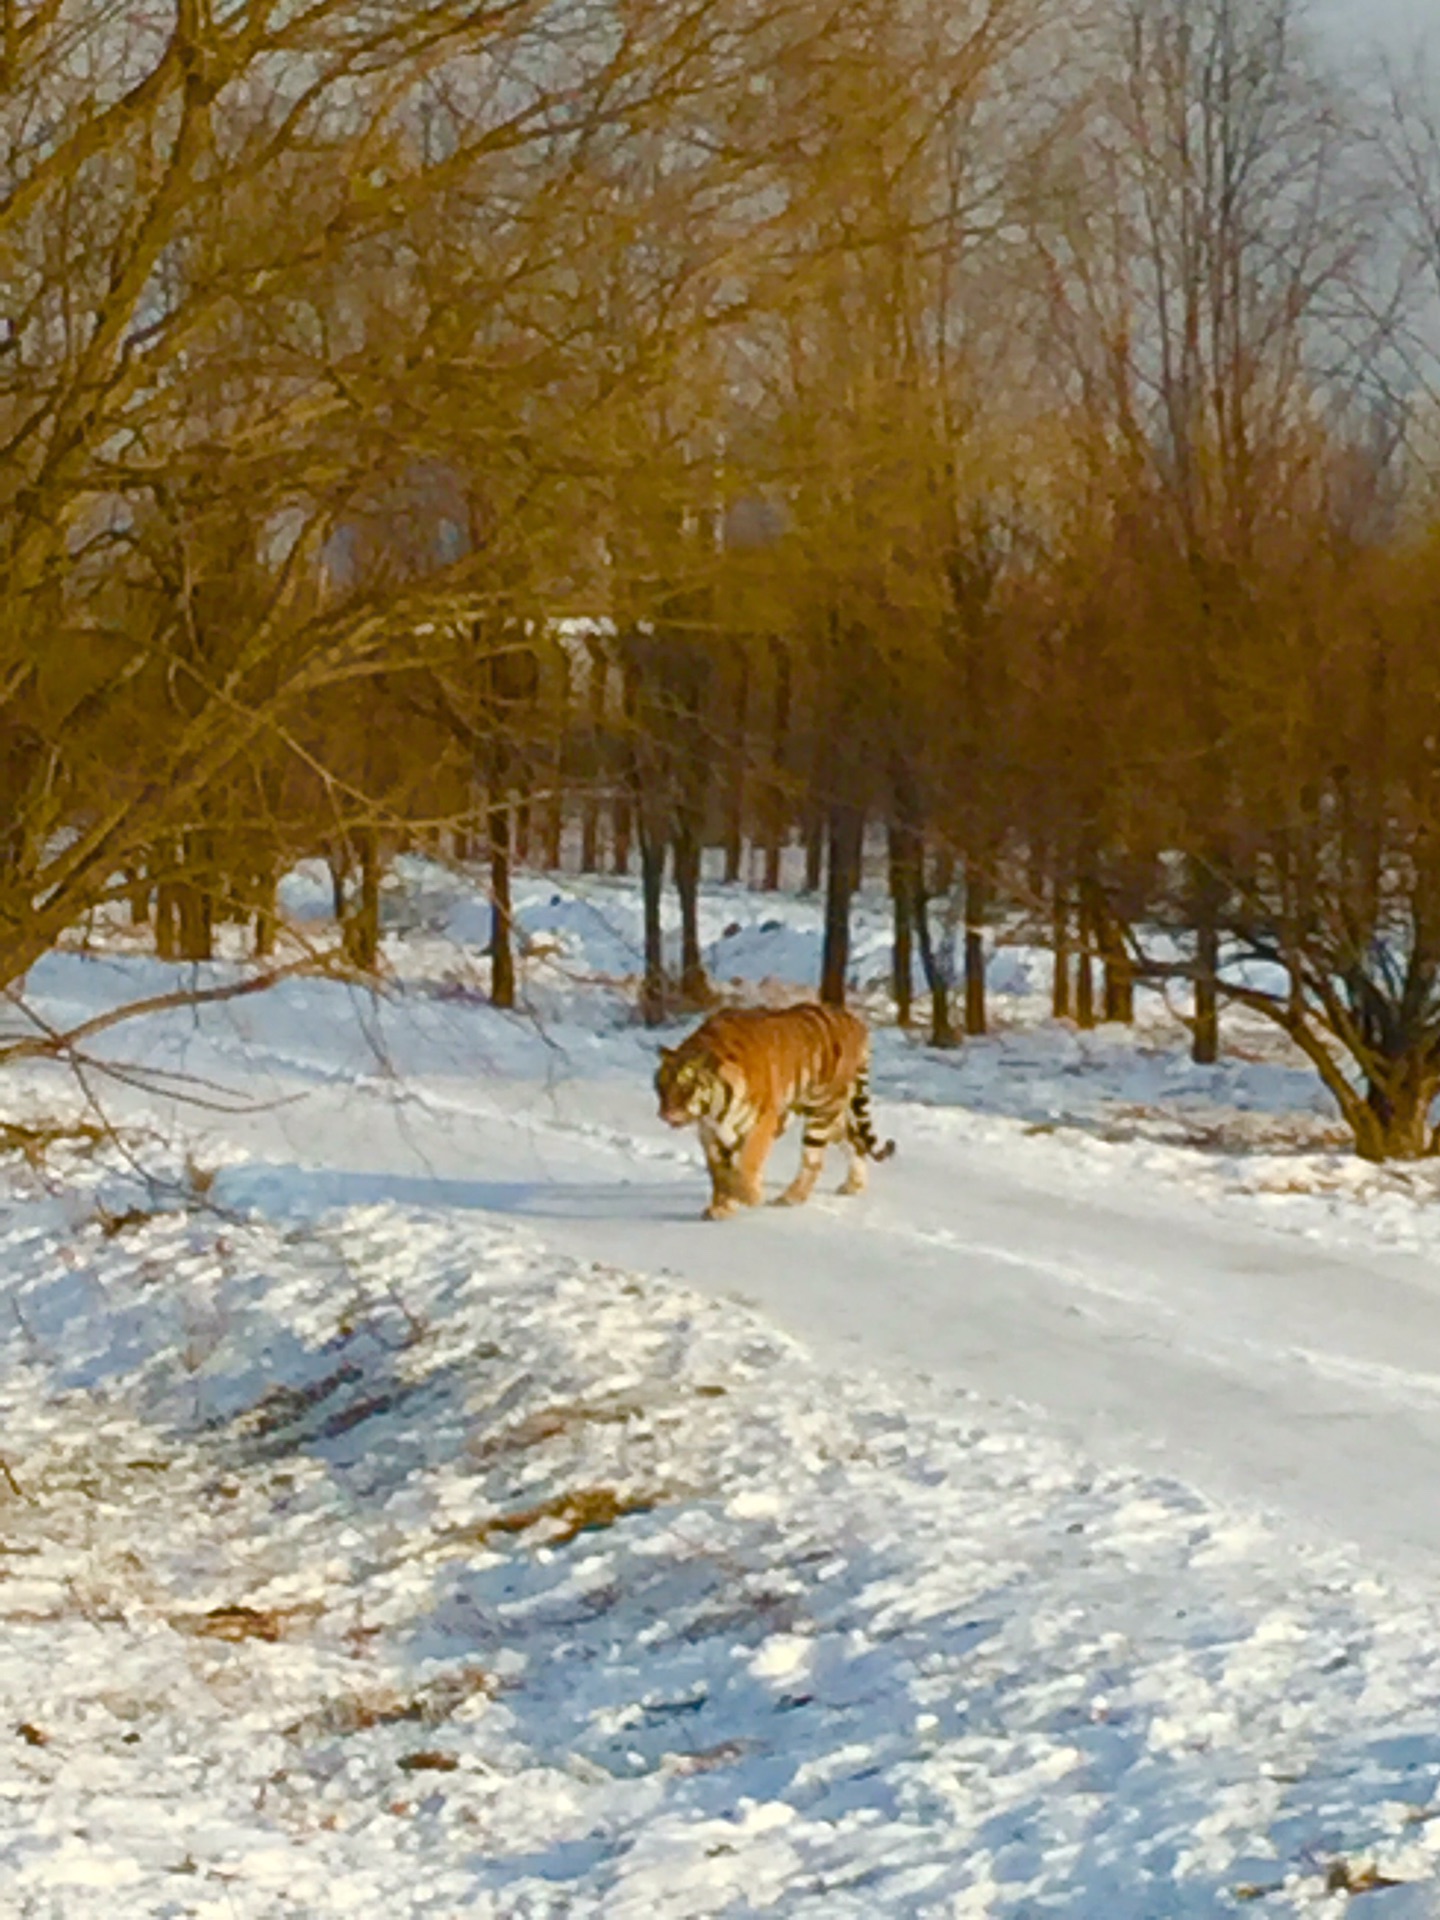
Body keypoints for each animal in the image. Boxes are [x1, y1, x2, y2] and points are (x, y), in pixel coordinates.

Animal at [660, 1006, 898, 1213]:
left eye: (685, 1086)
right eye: (661, 1086)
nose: (663, 1114)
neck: (713, 1109)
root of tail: (856, 1021)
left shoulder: (763, 1121)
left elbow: (748, 1162)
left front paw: (749, 1196)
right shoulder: (709, 1132)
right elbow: (718, 1172)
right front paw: (721, 1208)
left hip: (822, 1109)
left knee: (814, 1160)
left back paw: (789, 1198)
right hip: (832, 1112)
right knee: (855, 1142)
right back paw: (854, 1185)